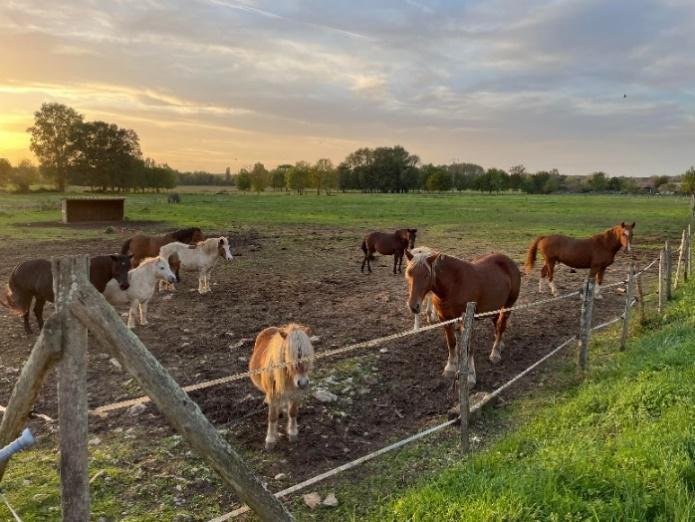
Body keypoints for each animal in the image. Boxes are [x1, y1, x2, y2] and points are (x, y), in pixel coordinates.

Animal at [2, 253, 132, 334]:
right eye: (117, 267)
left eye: (128, 267)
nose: (125, 285)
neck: (92, 270)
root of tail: (18, 266)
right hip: (26, 295)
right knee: (26, 311)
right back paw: (29, 330)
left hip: (40, 296)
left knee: (37, 311)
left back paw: (43, 328)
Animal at [402, 250, 520, 384]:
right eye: (409, 273)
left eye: (426, 275)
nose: (413, 306)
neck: (453, 285)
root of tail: (509, 261)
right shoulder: (445, 319)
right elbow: (451, 342)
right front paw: (450, 367)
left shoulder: (469, 319)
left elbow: (469, 346)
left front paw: (470, 375)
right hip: (494, 307)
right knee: (497, 324)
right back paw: (500, 345)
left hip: (507, 306)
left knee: (501, 326)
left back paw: (495, 353)